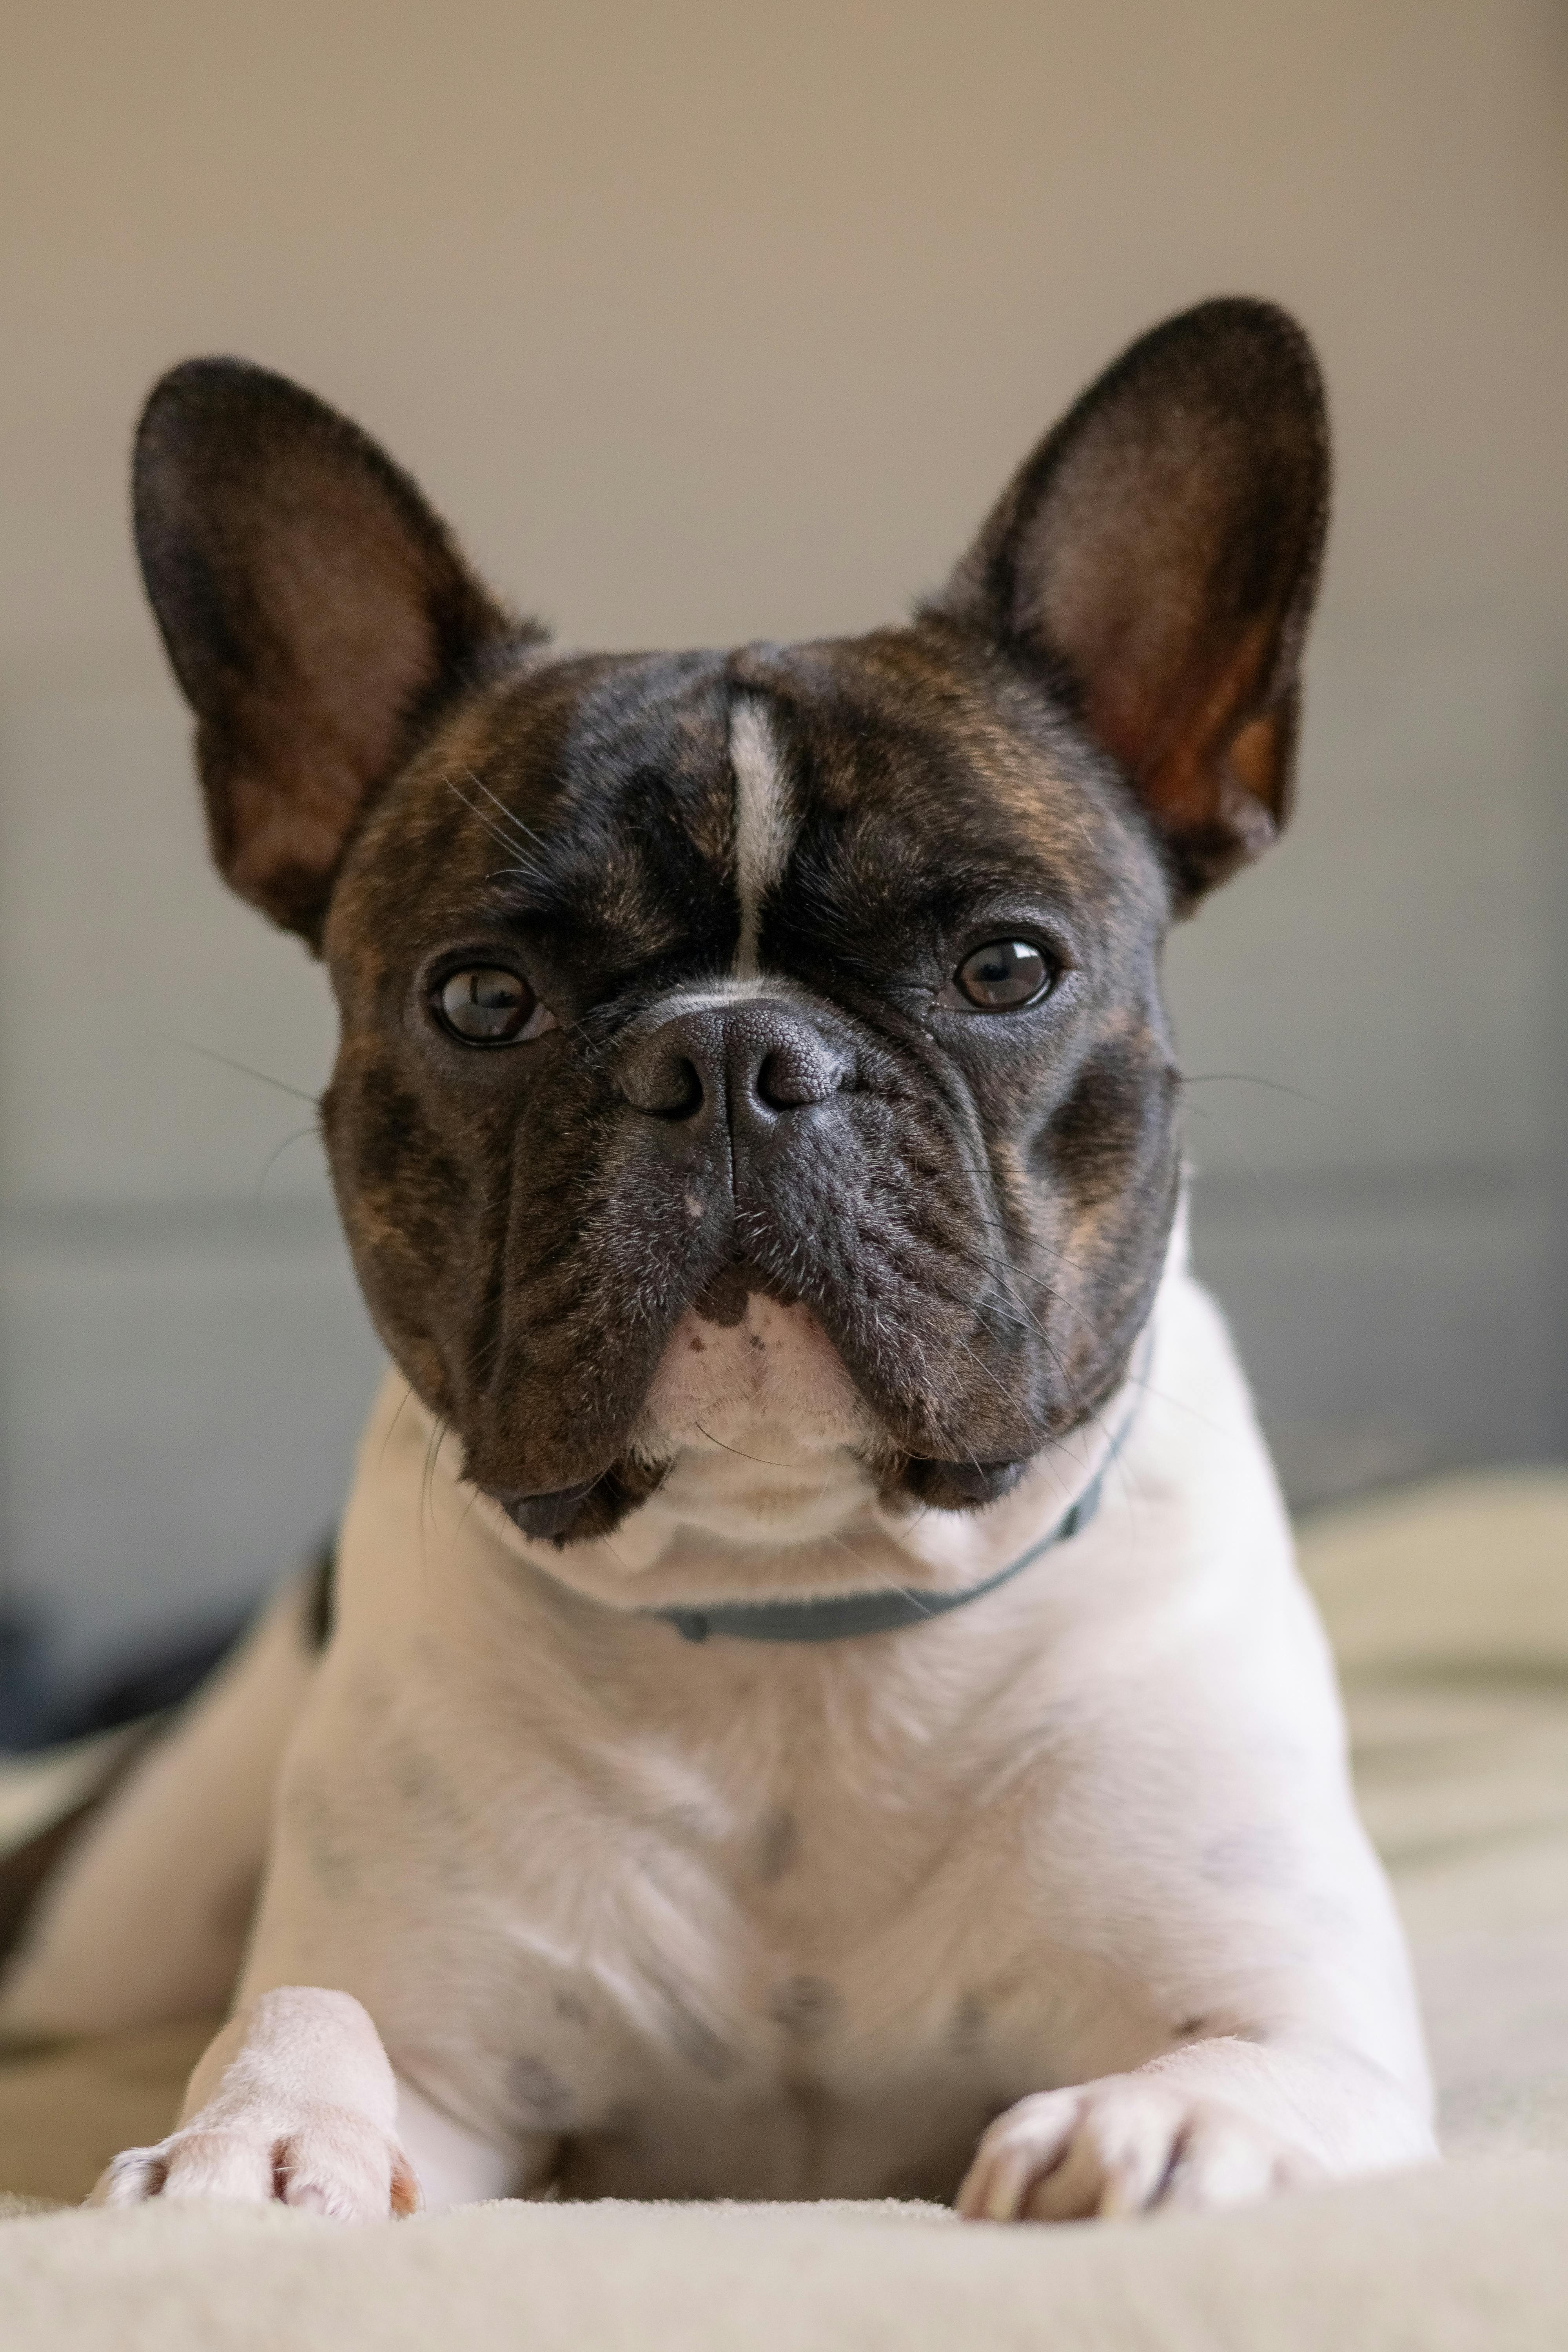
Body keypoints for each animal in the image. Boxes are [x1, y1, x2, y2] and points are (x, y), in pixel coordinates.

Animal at [0, 299, 1439, 2220]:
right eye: (479, 998)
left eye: (1005, 967)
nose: (734, 1053)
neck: (791, 1612)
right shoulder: (452, 2054)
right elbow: (316, 2021)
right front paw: (259, 2137)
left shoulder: (1300, 2014)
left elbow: (1239, 2068)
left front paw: (1153, 2131)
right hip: (101, 1923)